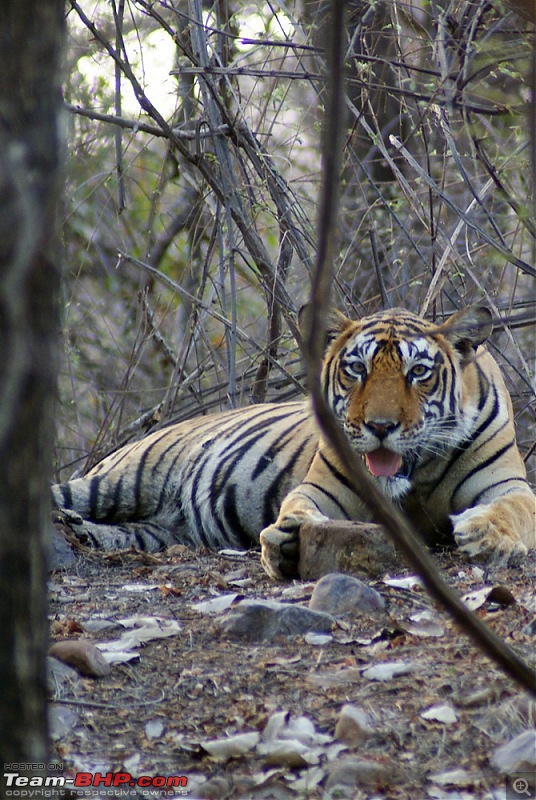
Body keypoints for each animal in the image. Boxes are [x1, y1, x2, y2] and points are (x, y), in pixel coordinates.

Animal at [51, 304, 536, 580]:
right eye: (356, 369)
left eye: (418, 372)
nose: (380, 426)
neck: (415, 480)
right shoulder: (324, 487)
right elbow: (298, 506)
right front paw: (288, 538)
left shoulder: (507, 485)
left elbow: (514, 508)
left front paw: (488, 536)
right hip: (122, 481)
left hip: (159, 532)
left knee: (119, 533)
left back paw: (80, 531)